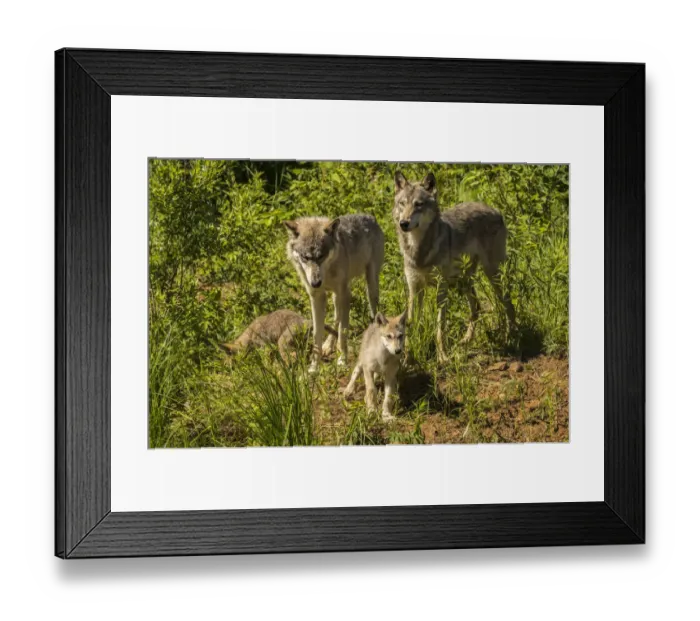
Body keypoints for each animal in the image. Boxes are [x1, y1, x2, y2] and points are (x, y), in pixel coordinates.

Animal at [284, 214, 385, 372]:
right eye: (305, 257)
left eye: (321, 256)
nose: (316, 283)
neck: (327, 274)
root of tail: (369, 217)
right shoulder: (317, 297)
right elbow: (317, 333)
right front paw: (314, 367)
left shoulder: (345, 294)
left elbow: (343, 332)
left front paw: (342, 360)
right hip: (335, 297)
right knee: (336, 317)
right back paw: (328, 345)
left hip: (370, 284)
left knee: (373, 308)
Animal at [393, 171, 515, 362]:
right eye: (402, 203)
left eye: (418, 205)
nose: (404, 223)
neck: (419, 251)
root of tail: (495, 210)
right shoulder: (414, 289)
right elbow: (410, 324)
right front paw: (406, 358)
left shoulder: (441, 289)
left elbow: (440, 327)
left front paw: (442, 357)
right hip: (463, 281)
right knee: (476, 308)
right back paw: (466, 341)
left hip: (492, 275)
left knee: (508, 305)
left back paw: (510, 339)